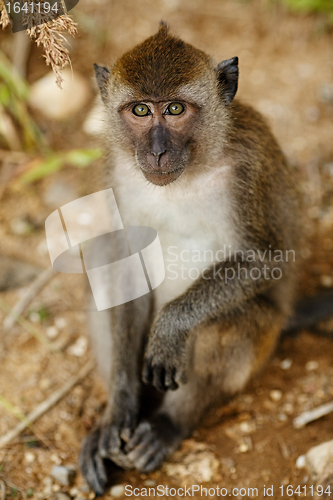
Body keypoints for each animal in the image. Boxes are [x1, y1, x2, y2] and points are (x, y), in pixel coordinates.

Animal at [79, 22, 302, 492]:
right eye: (141, 110)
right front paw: (120, 405)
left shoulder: (250, 167)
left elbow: (269, 259)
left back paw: (168, 424)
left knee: (228, 325)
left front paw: (171, 326)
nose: (157, 151)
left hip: (264, 340)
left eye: (176, 109)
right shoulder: (115, 170)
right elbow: (124, 262)